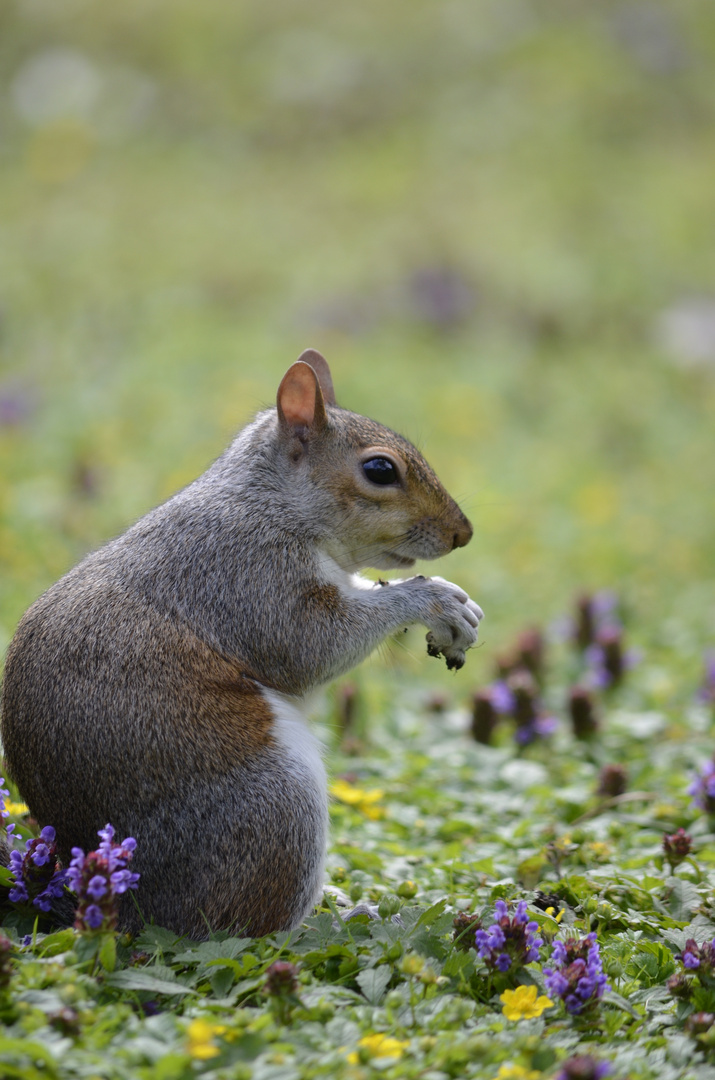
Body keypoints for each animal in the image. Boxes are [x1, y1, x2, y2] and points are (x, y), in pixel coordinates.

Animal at [1, 352, 481, 937]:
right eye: (380, 470)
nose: (463, 533)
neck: (270, 503)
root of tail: (123, 905)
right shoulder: (245, 574)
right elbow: (312, 646)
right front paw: (435, 599)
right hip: (271, 804)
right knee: (251, 930)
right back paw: (336, 920)